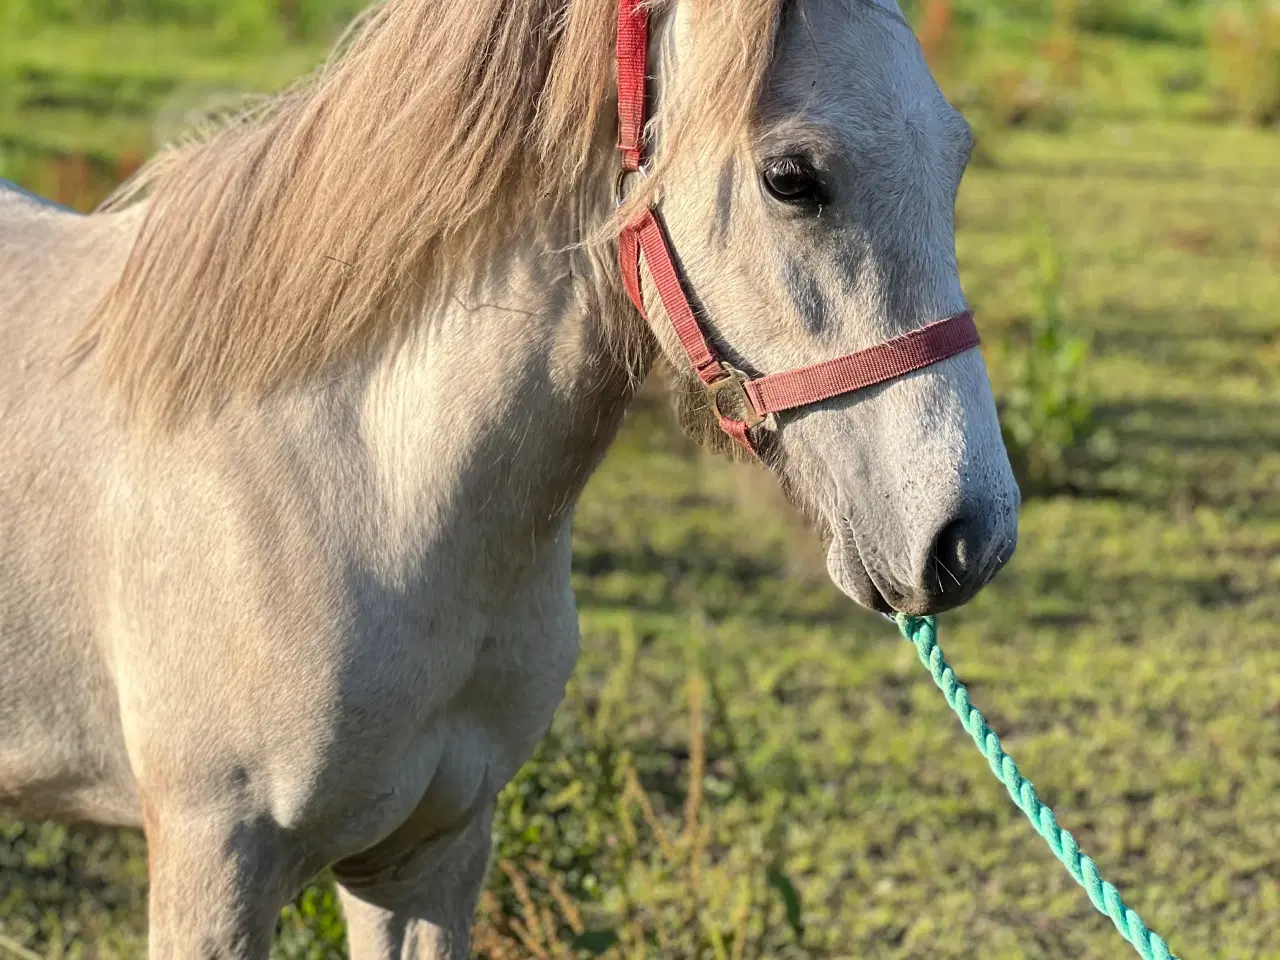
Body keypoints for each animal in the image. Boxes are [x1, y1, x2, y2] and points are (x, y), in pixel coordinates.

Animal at [0, 0, 1018, 957]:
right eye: (792, 179)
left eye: (955, 157)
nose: (973, 537)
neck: (361, 486)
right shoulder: (213, 871)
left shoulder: (428, 857)